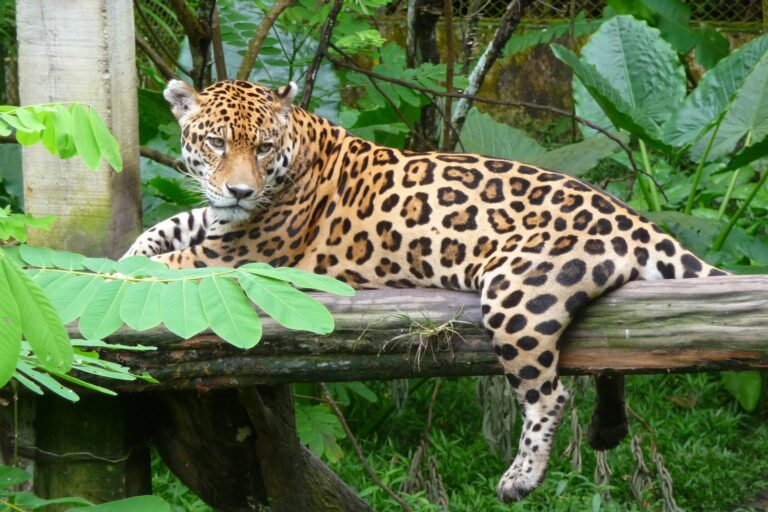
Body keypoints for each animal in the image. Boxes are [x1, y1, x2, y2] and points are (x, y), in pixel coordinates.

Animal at [125, 79, 728, 503]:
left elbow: (166, 260)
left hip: (516, 294)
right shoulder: (215, 225)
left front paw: (118, 270)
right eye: (216, 142)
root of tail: (632, 218)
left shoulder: (235, 258)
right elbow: (168, 227)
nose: (241, 190)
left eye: (264, 147)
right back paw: (606, 428)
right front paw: (130, 248)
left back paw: (520, 477)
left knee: (549, 395)